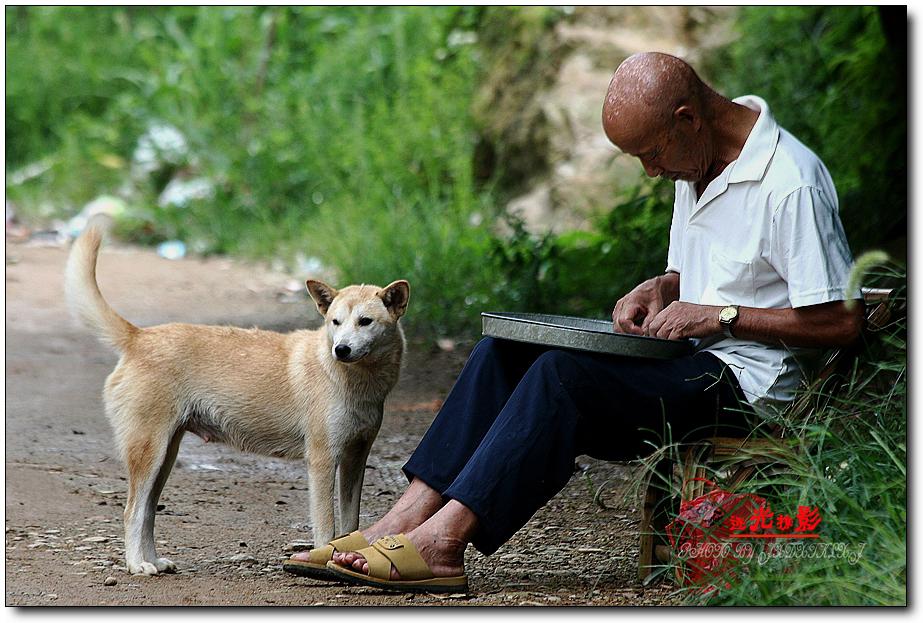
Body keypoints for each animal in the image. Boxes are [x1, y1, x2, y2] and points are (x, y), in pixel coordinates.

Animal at [63, 222, 410, 576]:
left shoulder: (356, 459)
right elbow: (327, 527)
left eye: (365, 321)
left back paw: (154, 560)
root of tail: (138, 337)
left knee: (147, 511)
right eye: (335, 322)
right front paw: (324, 558)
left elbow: (351, 523)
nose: (340, 349)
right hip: (149, 453)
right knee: (132, 511)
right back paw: (137, 565)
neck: (352, 380)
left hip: (165, 457)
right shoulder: (323, 461)